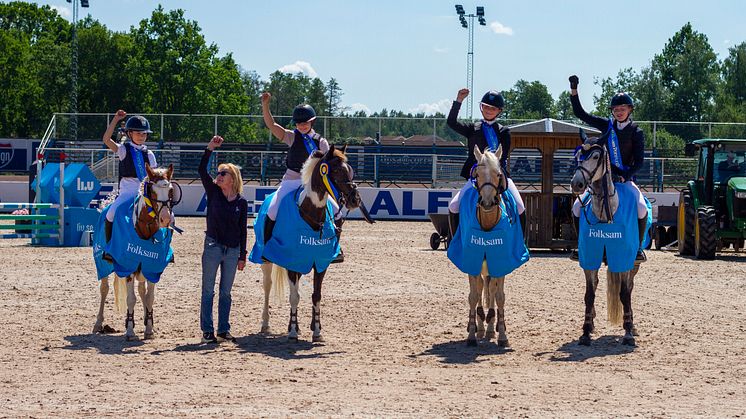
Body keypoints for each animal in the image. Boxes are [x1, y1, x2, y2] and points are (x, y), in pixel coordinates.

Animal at [90, 164, 176, 342]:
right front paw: (129, 330)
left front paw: (149, 328)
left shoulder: (152, 268)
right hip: (102, 265)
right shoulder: (127, 267)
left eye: (170, 190)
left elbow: (149, 298)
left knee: (142, 291)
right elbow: (131, 299)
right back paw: (98, 323)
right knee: (104, 289)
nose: (165, 219)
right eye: (152, 191)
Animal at [251, 146, 372, 342]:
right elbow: (294, 296)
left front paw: (316, 330)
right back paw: (266, 324)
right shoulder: (291, 262)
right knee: (267, 286)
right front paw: (293, 332)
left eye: (349, 170)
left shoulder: (320, 263)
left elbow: (316, 296)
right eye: (335, 170)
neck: (310, 213)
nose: (355, 200)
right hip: (266, 261)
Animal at [444, 146, 528, 350]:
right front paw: (472, 334)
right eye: (477, 175)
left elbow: (499, 296)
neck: (489, 223)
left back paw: (490, 327)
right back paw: (480, 326)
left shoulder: (502, 263)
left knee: (490, 290)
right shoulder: (470, 261)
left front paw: (502, 334)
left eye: (499, 174)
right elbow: (473, 296)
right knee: (481, 288)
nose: (488, 202)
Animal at [568, 132, 644, 348]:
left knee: (630, 289)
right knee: (596, 285)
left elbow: (625, 294)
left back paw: (632, 325)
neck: (605, 214)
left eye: (595, 157)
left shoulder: (624, 259)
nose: (576, 184)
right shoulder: (589, 258)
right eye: (578, 157)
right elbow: (589, 294)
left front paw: (628, 332)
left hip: (634, 264)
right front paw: (585, 332)